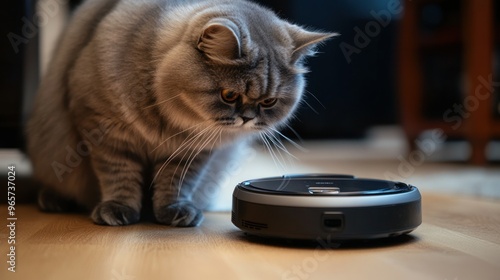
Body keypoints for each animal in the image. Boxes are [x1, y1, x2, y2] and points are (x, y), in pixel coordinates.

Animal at [25, 0, 334, 228]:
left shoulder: (192, 154)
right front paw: (119, 209)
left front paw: (174, 211)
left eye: (269, 102)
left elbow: (176, 183)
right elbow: (119, 175)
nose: (247, 118)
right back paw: (52, 200)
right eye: (229, 95)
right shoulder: (105, 131)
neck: (172, 121)